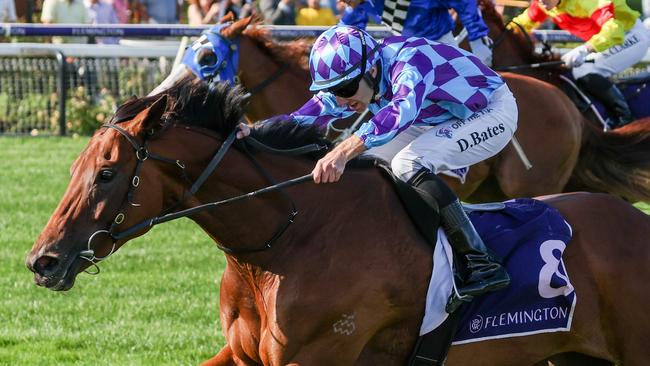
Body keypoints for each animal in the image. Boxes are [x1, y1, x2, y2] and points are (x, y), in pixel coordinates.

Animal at [25, 76, 648, 364]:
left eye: (107, 173)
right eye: (78, 165)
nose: (42, 261)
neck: (286, 240)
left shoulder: (316, 356)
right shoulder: (245, 354)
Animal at [153, 17, 650, 203]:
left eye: (207, 58)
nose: (160, 94)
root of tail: (567, 105)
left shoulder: (412, 76)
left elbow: (396, 111)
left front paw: (333, 160)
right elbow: (315, 109)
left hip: (518, 161)